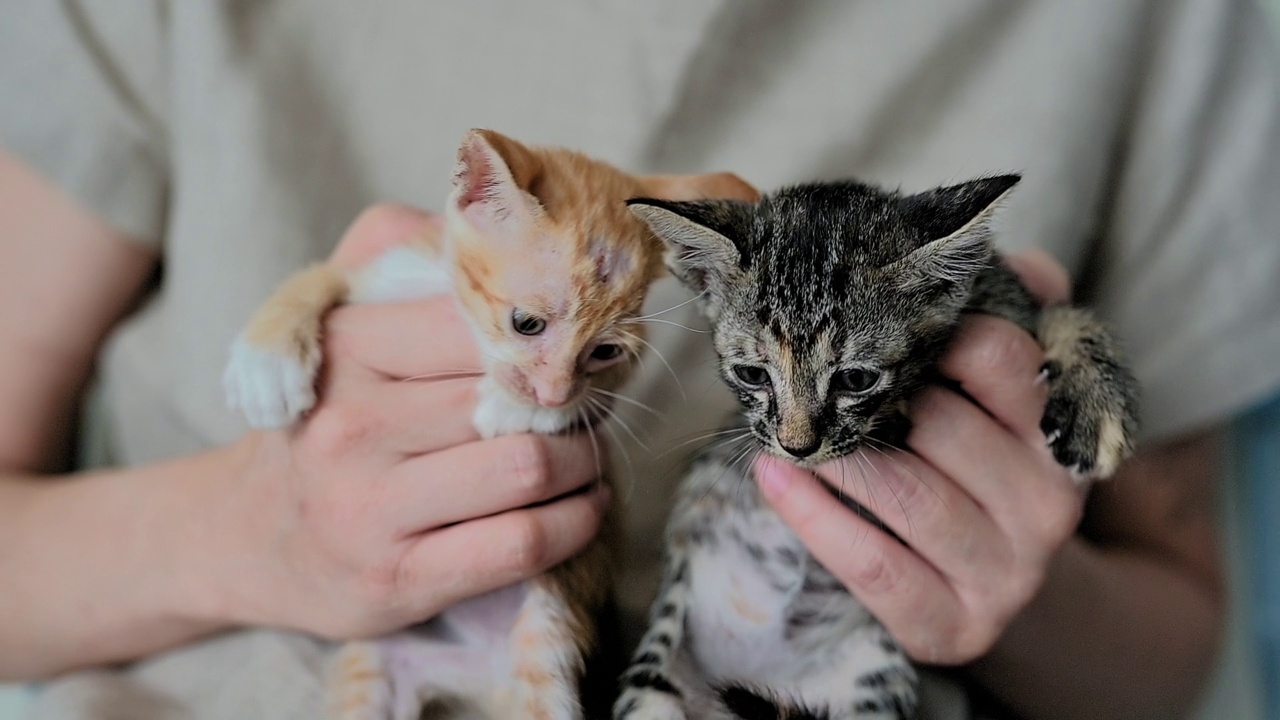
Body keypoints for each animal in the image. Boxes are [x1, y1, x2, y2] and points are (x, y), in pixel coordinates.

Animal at [222, 128, 757, 717]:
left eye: (604, 352)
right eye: (527, 324)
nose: (551, 393)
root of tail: (476, 682)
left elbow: (593, 397)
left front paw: (528, 407)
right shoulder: (382, 273)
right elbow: (318, 275)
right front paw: (266, 364)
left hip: (545, 637)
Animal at [614, 175, 1136, 717]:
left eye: (856, 379)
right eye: (753, 374)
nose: (797, 448)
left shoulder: (1003, 295)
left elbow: (1057, 312)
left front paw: (1096, 404)